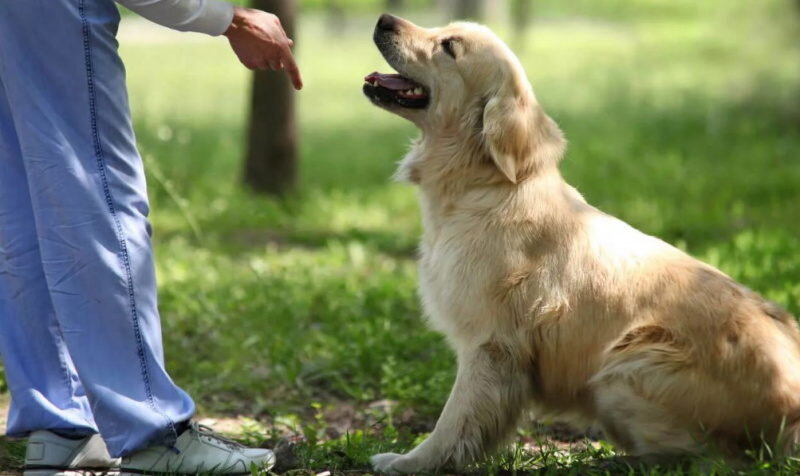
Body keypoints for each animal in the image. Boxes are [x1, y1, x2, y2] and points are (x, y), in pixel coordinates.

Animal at [364, 13, 800, 474]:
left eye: (449, 46)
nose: (384, 19)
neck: (485, 185)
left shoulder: (491, 346)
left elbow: (454, 422)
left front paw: (410, 461)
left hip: (626, 365)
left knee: (708, 457)